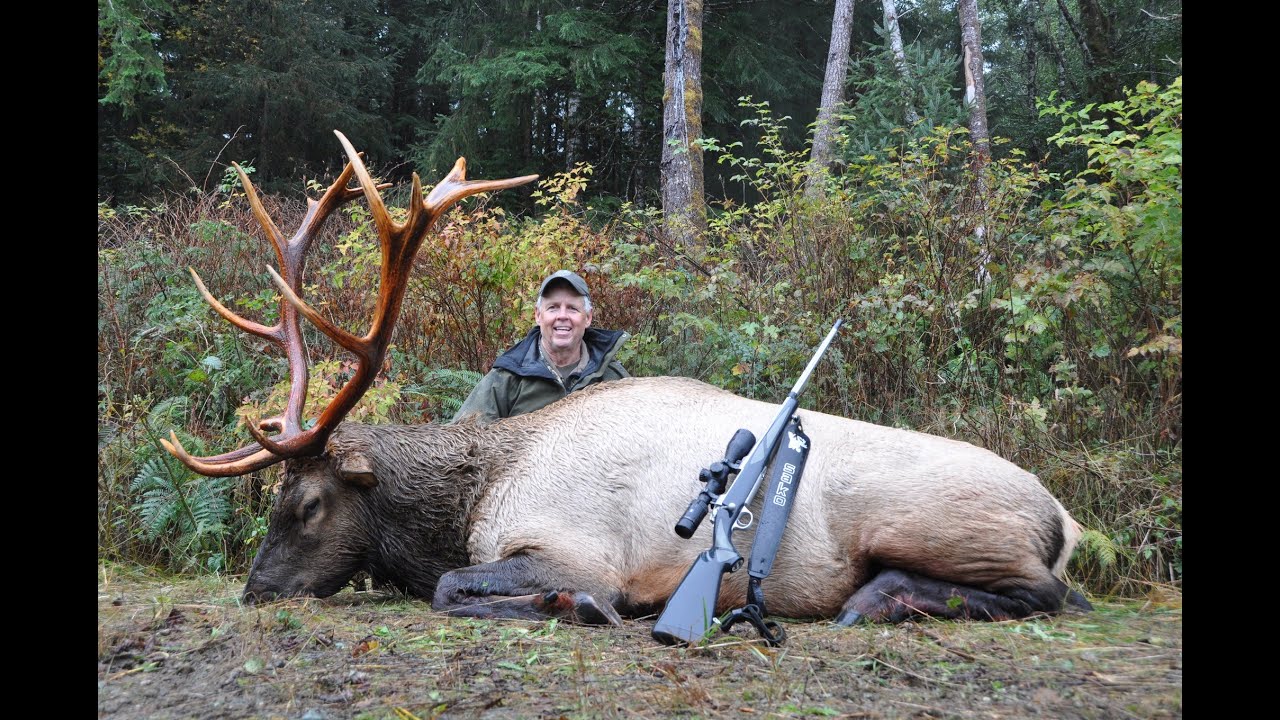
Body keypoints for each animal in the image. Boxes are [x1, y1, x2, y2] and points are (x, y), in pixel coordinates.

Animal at [164, 131, 1090, 632]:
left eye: (307, 504)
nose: (254, 591)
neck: (473, 494)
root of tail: (1063, 516)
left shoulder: (572, 546)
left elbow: (456, 589)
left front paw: (576, 607)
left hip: (939, 523)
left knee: (1054, 590)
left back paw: (880, 599)